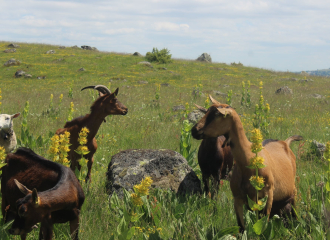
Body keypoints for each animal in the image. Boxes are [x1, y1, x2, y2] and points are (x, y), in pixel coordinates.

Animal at [191, 96, 302, 231]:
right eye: (206, 111)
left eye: (217, 114)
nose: (194, 130)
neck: (248, 161)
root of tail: (285, 142)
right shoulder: (238, 198)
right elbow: (241, 227)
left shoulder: (268, 196)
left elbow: (263, 224)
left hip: (293, 194)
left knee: (295, 215)